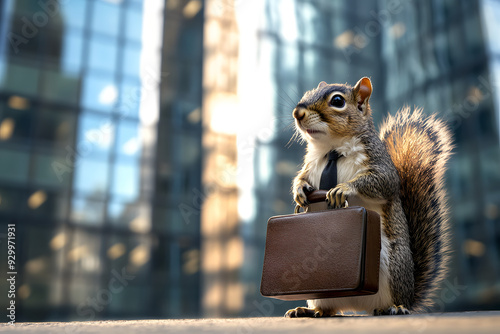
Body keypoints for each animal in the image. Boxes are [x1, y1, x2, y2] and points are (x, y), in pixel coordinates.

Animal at [286, 77, 454, 318]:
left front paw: (344, 188)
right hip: (320, 293)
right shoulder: (310, 166)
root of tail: (357, 305)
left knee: (396, 298)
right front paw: (298, 191)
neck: (332, 147)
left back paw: (396, 307)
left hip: (394, 265)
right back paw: (309, 310)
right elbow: (301, 177)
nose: (297, 113)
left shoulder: (379, 163)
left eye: (337, 101)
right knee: (328, 309)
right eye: (307, 93)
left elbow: (382, 182)